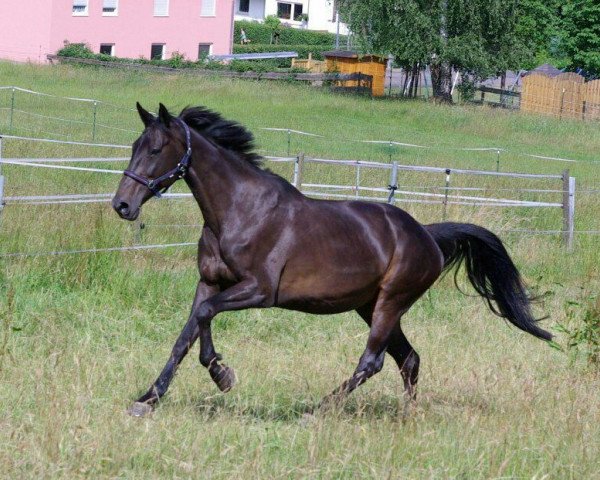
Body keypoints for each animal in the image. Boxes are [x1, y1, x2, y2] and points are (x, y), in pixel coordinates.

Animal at [112, 104, 552, 416]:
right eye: (133, 147)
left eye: (155, 149)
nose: (122, 205)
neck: (240, 210)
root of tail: (427, 234)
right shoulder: (210, 282)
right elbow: (186, 336)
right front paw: (148, 399)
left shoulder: (258, 291)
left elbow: (204, 319)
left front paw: (223, 374)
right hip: (369, 305)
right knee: (408, 359)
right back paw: (407, 417)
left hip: (389, 303)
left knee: (373, 361)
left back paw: (319, 409)